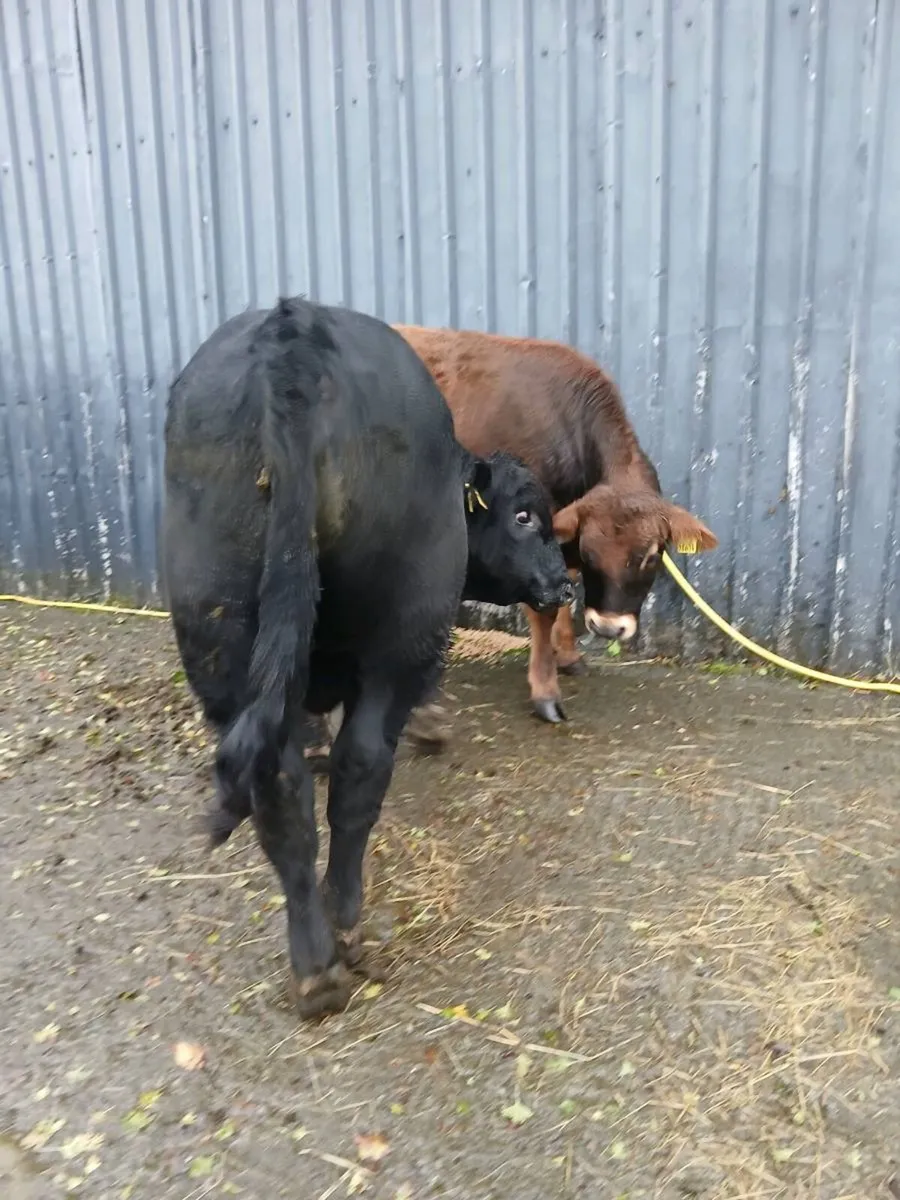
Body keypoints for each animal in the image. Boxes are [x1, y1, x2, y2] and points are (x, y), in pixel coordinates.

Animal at [163, 297, 570, 1019]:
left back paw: (314, 964)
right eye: (525, 516)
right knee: (362, 765)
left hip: (218, 628)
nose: (564, 581)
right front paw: (432, 723)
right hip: (402, 625)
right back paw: (345, 925)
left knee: (280, 785)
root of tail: (294, 330)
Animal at [394, 325, 718, 726]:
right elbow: (545, 609)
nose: (608, 627)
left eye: (651, 555)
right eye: (591, 553)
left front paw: (568, 657)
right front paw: (545, 691)